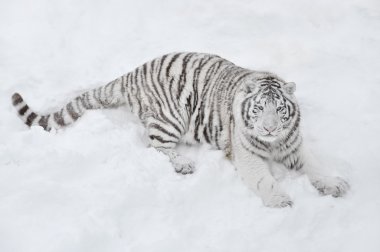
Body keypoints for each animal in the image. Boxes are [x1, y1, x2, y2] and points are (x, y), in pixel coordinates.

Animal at [11, 51, 350, 207]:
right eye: (258, 109)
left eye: (279, 110)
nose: (268, 129)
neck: (273, 144)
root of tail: (133, 72)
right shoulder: (247, 155)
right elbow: (263, 179)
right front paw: (280, 200)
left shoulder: (294, 145)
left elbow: (316, 166)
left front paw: (334, 184)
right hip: (173, 116)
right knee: (155, 146)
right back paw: (184, 163)